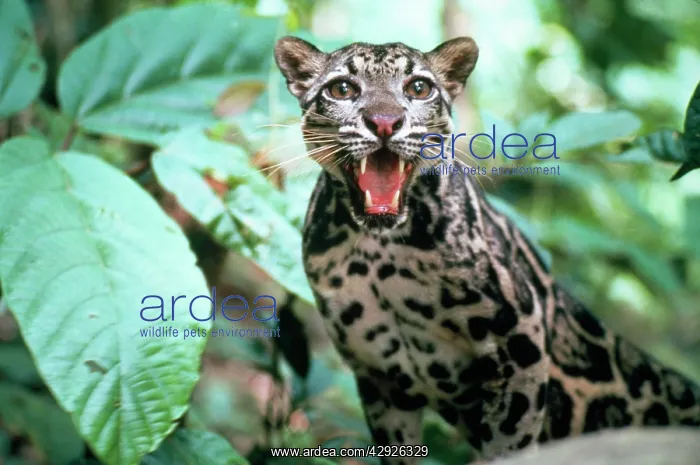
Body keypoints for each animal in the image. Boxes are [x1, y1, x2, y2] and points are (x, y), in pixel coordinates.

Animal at [273, 35, 700, 464]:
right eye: (342, 89)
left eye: (419, 88)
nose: (384, 122)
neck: (379, 251)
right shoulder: (378, 377)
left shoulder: (520, 339)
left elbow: (510, 439)